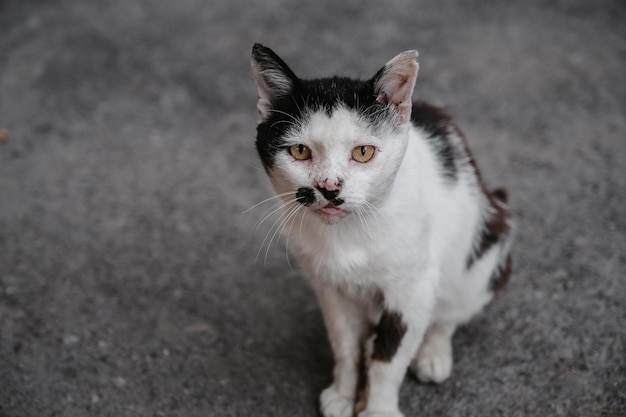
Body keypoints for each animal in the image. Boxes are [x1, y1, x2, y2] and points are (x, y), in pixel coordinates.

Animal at [249, 43, 512, 416]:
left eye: (363, 152)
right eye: (299, 150)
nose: (330, 187)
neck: (349, 233)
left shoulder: (412, 289)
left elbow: (388, 361)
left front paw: (377, 409)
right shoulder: (331, 288)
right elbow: (344, 346)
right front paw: (343, 395)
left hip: (485, 247)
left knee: (451, 311)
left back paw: (434, 354)